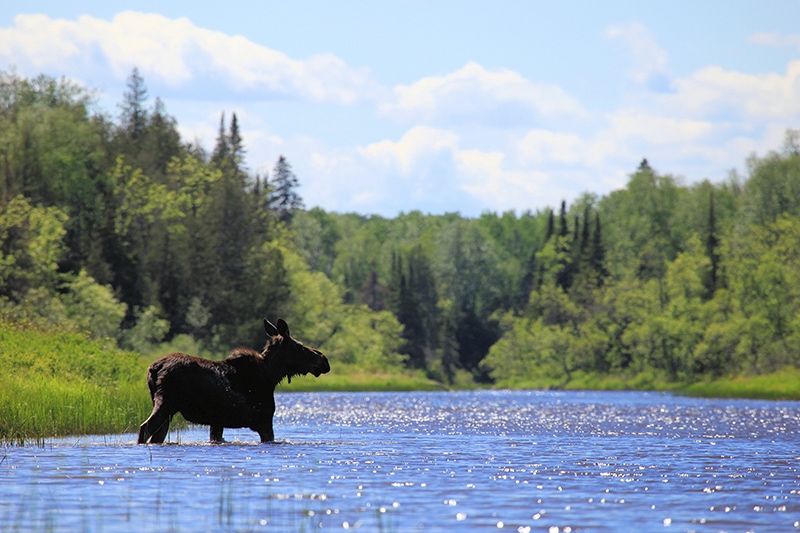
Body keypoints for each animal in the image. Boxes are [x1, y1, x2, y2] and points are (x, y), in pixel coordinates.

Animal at [138, 318, 328, 442]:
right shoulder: (264, 420)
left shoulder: (217, 422)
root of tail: (153, 369)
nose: (324, 360)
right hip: (166, 402)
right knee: (145, 427)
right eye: (300, 346)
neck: (271, 375)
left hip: (165, 408)